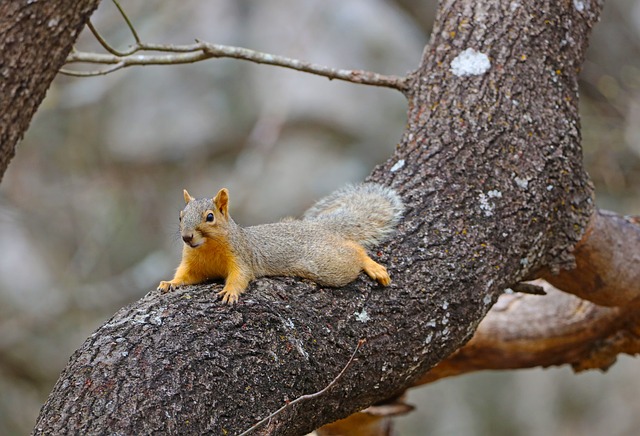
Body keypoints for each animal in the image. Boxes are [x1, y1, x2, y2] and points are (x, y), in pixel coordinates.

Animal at [157, 183, 402, 304]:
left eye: (210, 217)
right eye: (180, 216)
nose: (187, 237)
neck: (207, 248)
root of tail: (318, 227)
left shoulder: (241, 256)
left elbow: (240, 276)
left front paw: (229, 292)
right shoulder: (193, 264)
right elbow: (185, 275)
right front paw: (170, 283)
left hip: (325, 264)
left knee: (355, 251)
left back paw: (372, 266)